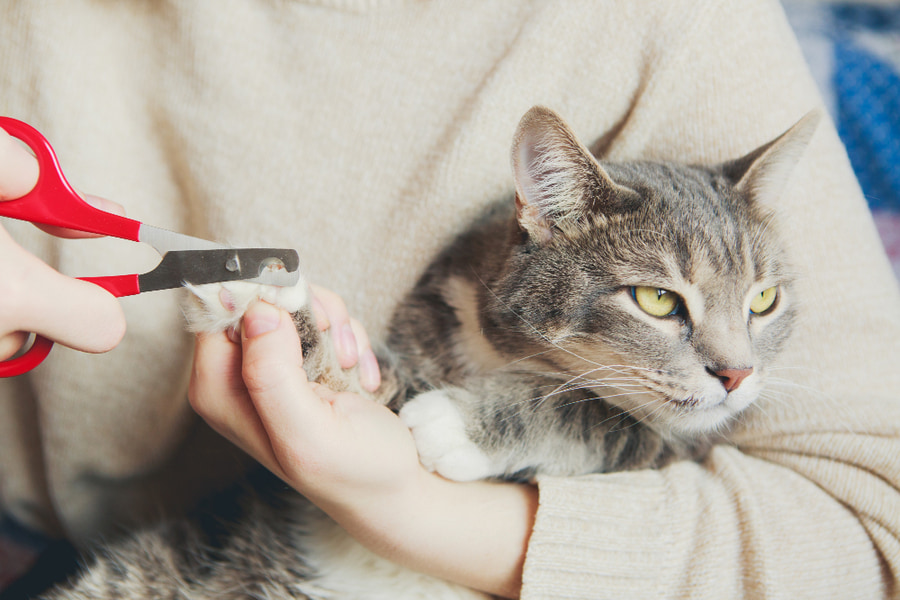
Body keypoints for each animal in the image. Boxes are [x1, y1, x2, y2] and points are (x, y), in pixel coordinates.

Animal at [38, 105, 820, 596]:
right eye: (658, 300)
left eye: (763, 301)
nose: (738, 373)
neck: (507, 355)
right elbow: (369, 380)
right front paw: (255, 296)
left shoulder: (689, 444)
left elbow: (600, 415)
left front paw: (465, 424)